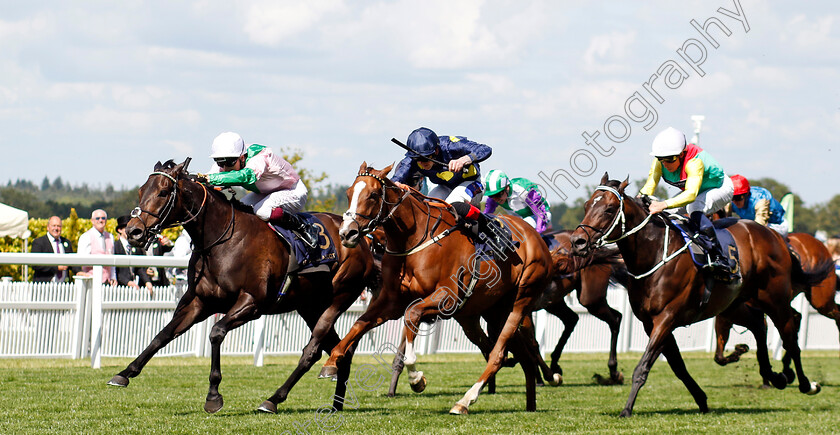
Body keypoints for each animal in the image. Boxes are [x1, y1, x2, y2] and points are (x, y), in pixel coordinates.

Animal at [106, 160, 378, 416]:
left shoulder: (252, 303)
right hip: (310, 306)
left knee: (312, 351)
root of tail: (362, 240)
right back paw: (336, 405)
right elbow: (163, 335)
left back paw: (273, 399)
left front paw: (213, 396)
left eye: (163, 192)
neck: (221, 241)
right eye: (141, 190)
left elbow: (216, 332)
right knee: (340, 351)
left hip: (337, 299)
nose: (134, 232)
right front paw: (125, 373)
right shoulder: (199, 302)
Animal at [318, 162, 556, 414]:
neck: (414, 239)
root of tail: (537, 238)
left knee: (498, 353)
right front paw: (331, 362)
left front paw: (416, 379)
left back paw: (465, 401)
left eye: (373, 195)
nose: (347, 233)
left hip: (520, 301)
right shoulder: (392, 301)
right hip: (487, 312)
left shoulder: (446, 298)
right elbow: (359, 324)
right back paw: (530, 404)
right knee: (514, 353)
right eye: (348, 193)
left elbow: (411, 317)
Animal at [572, 175, 820, 418]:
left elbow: (643, 366)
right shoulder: (650, 322)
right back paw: (774, 376)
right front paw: (702, 400)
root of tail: (775, 236)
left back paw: (805, 384)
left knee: (790, 338)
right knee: (759, 325)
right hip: (733, 304)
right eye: (586, 205)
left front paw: (626, 410)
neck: (654, 253)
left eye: (609, 209)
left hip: (775, 299)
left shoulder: (667, 318)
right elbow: (678, 366)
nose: (577, 242)